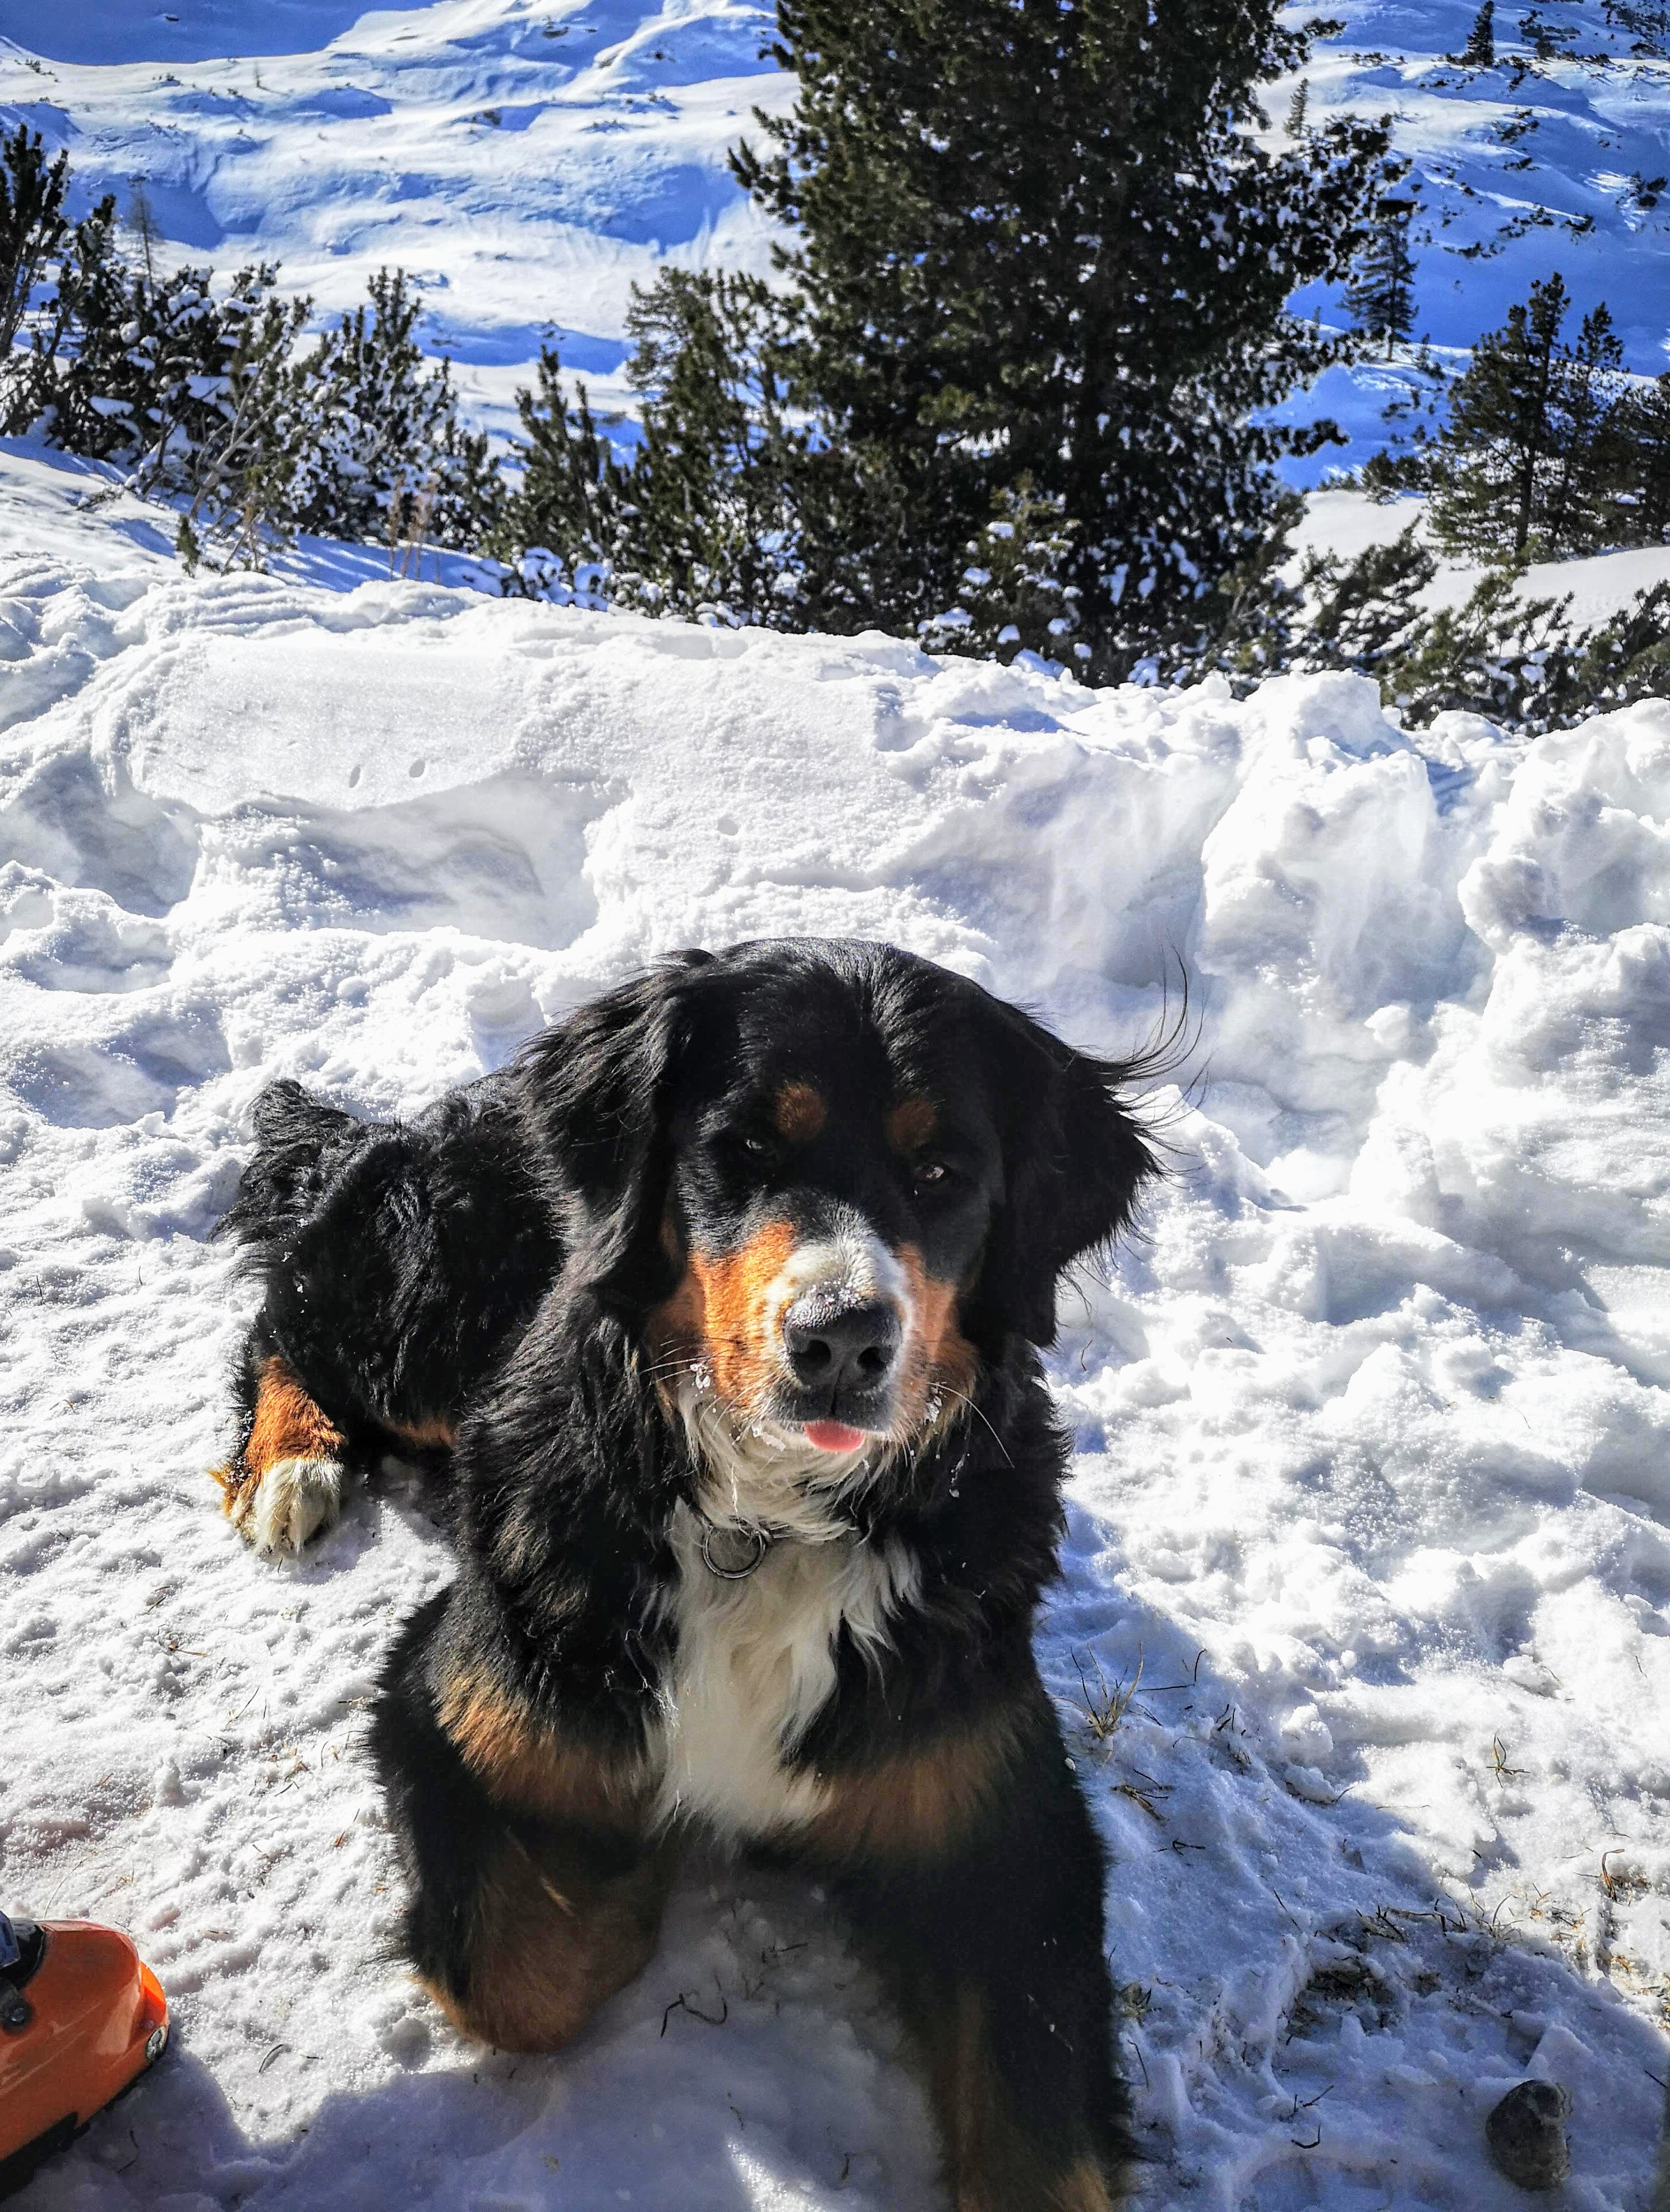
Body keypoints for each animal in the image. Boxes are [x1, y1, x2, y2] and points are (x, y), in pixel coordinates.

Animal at [214, 938, 1157, 2209]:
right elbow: (520, 1971)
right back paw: (294, 1464)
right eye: (745, 1148)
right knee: (284, 1319)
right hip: (414, 1315)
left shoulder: (1006, 1829)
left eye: (941, 1169)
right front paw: (623, 1875)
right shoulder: (453, 1707)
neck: (768, 1524)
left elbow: (1037, 2142)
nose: (842, 1342)